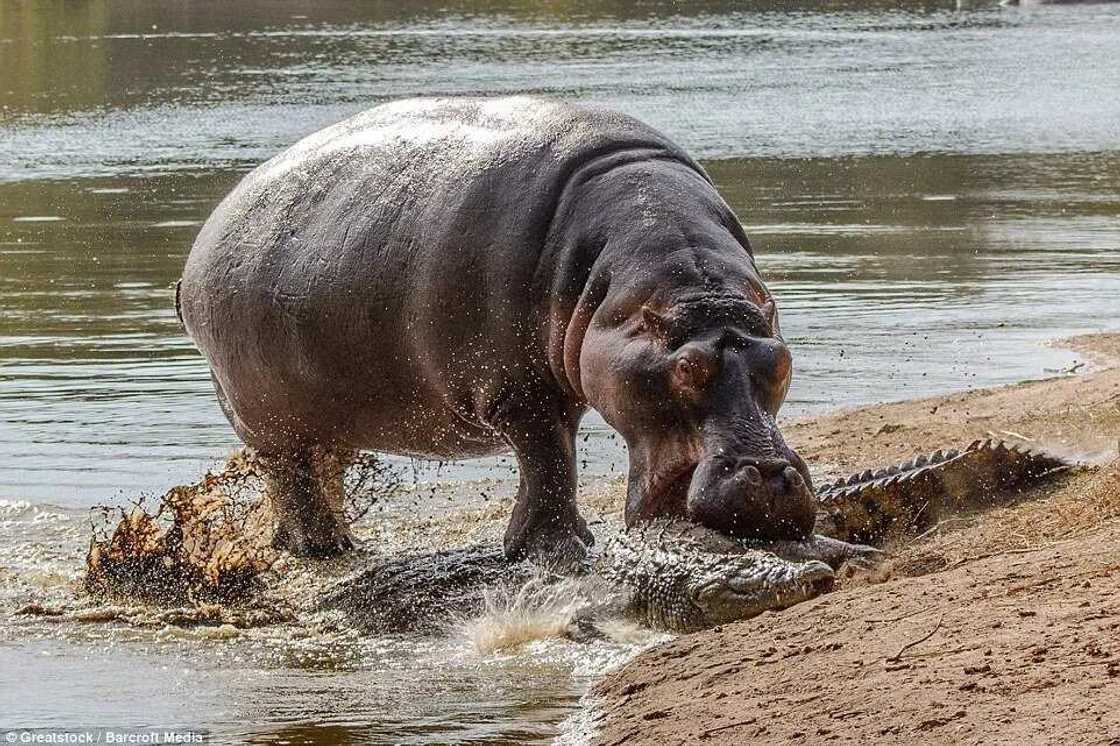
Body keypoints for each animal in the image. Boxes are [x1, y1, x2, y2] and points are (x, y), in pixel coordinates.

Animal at [178, 96, 815, 562]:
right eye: (687, 367)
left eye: (781, 363)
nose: (772, 480)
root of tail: (202, 244)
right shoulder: (519, 390)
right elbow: (548, 461)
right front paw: (552, 550)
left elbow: (558, 459)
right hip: (263, 416)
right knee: (290, 476)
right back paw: (323, 547)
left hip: (321, 410)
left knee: (318, 468)